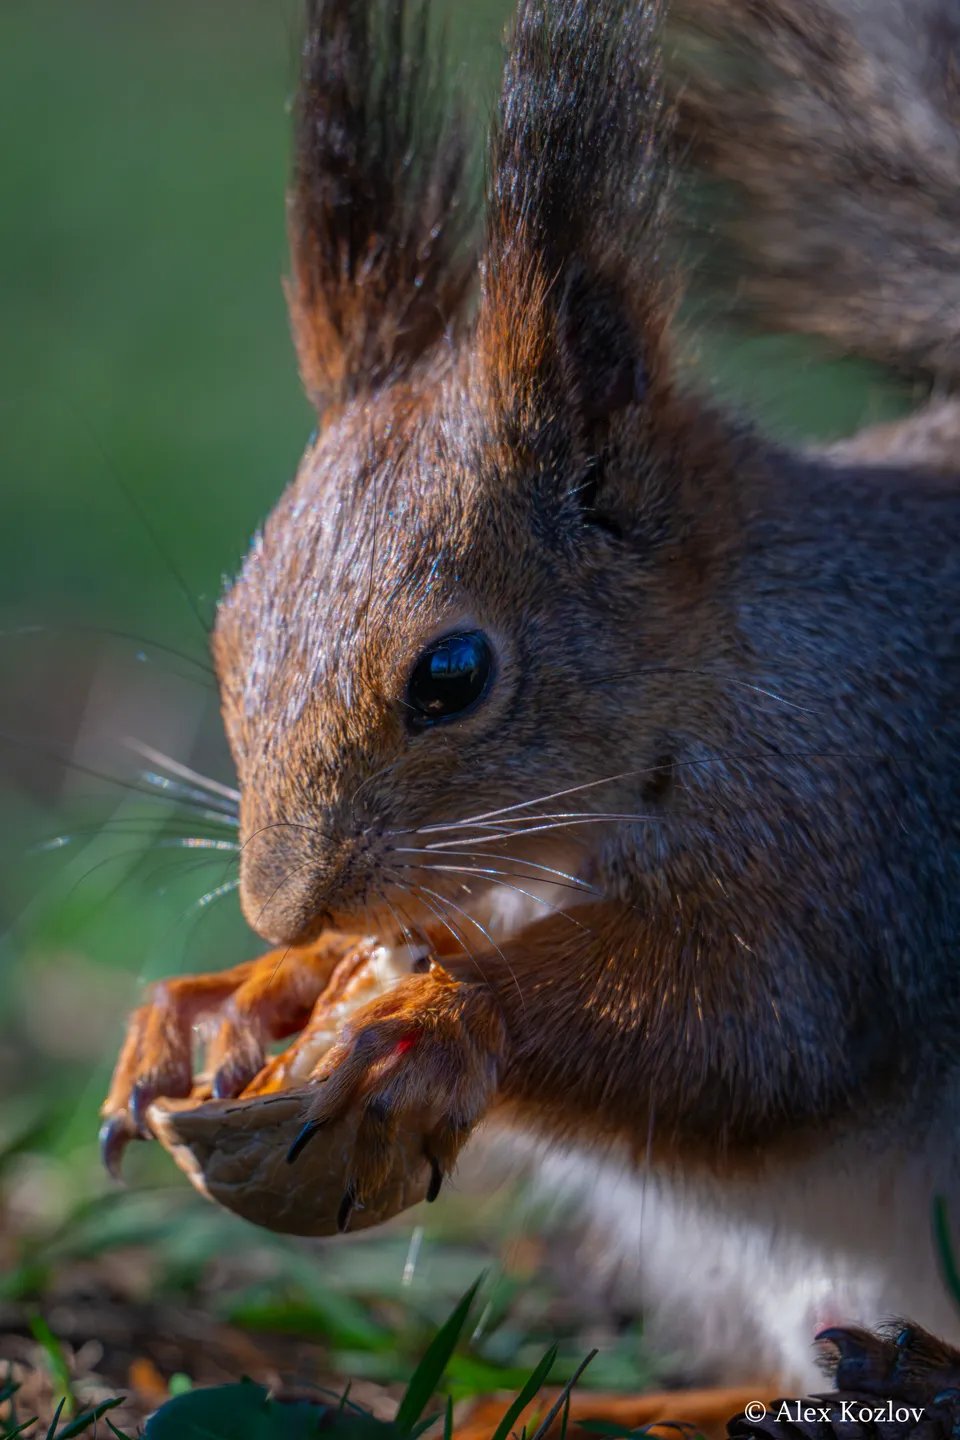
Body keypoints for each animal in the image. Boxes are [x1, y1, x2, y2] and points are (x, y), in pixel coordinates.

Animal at [99, 0, 960, 1398]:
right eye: (229, 637)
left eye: (453, 675)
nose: (278, 901)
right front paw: (245, 990)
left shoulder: (855, 818)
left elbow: (759, 1033)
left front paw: (442, 1015)